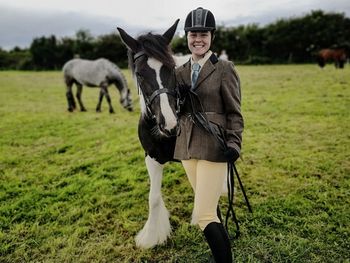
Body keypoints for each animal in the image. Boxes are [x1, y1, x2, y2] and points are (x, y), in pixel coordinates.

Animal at [117, 20, 179, 250]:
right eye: (140, 74)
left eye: (171, 68)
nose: (170, 125)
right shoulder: (151, 157)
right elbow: (153, 198)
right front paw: (152, 235)